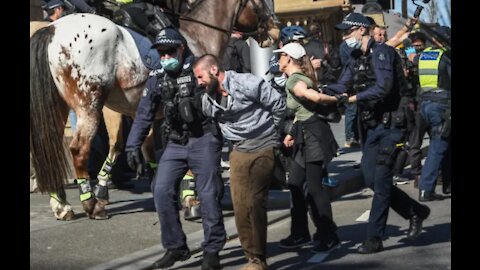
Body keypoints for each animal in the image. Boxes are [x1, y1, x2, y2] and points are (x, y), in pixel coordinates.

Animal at [30, 0, 280, 220]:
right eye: (261, 2)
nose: (276, 29)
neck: (197, 35)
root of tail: (52, 29)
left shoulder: (137, 110)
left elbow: (132, 147)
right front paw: (190, 198)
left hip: (61, 106)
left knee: (50, 148)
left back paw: (62, 204)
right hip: (89, 104)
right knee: (78, 149)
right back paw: (88, 202)